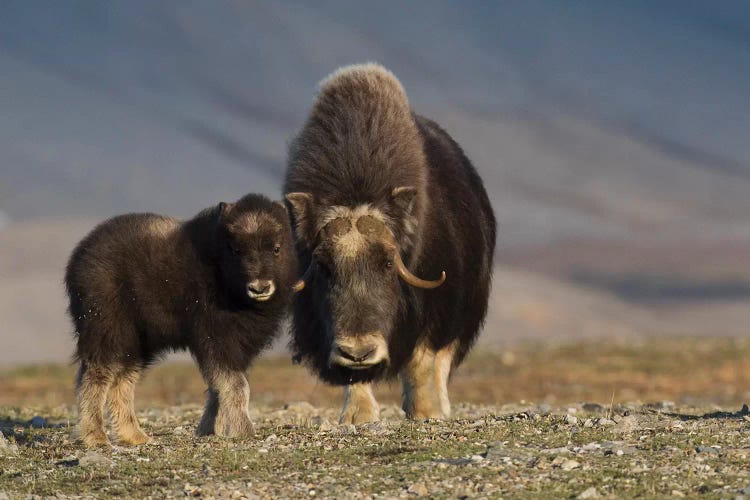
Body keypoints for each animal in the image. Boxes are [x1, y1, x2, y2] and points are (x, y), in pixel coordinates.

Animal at [64, 193, 300, 448]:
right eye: (236, 249)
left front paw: (209, 430)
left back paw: (135, 436)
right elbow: (236, 385)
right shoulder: (218, 339)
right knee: (95, 375)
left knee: (122, 382)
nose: (259, 288)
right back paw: (96, 437)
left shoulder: (239, 346)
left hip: (137, 345)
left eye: (276, 248)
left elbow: (219, 387)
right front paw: (244, 431)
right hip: (108, 329)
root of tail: (80, 255)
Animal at [284, 62, 496, 422]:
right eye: (324, 268)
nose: (359, 351)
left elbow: (423, 359)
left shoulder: (436, 307)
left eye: (386, 264)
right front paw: (358, 415)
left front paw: (426, 412)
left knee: (441, 360)